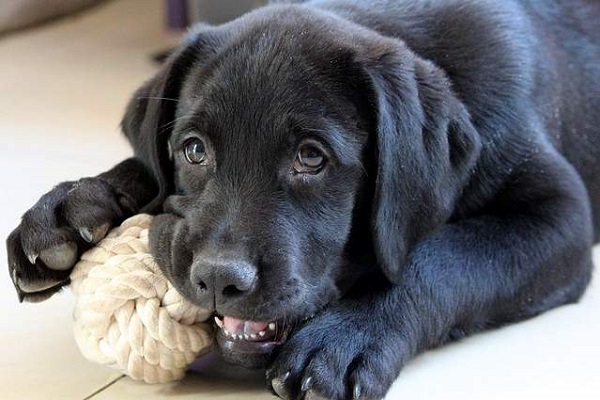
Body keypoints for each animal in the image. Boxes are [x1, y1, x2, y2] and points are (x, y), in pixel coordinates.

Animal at [5, 0, 600, 400]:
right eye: (193, 150)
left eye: (311, 157)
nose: (218, 280)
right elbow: (146, 173)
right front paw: (74, 206)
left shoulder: (560, 217)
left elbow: (441, 258)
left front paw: (347, 337)